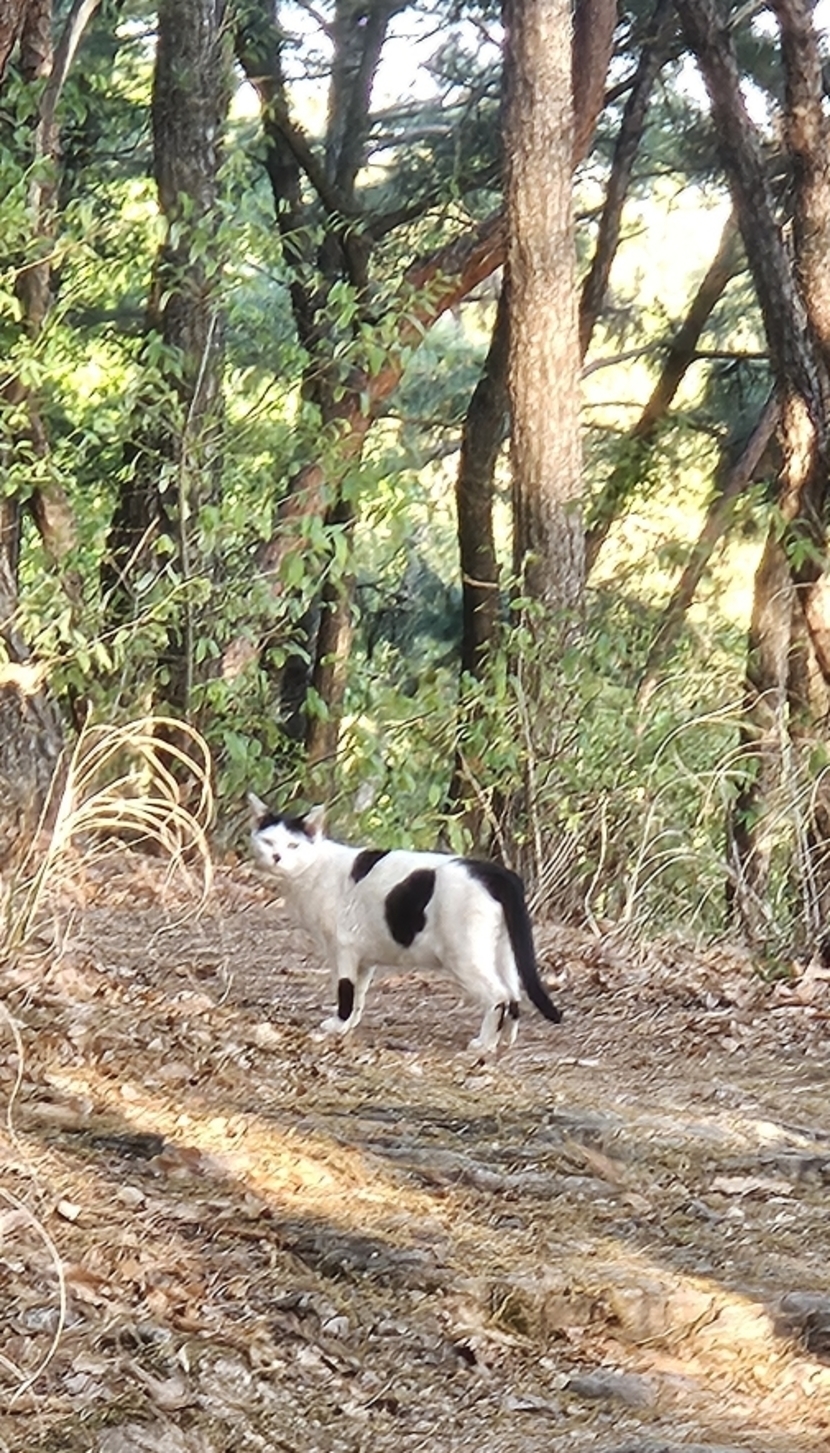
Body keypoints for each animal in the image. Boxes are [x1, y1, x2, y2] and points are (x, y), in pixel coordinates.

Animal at [248, 795, 562, 1051]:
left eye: (293, 845)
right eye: (268, 842)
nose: (277, 857)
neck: (312, 871)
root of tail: (496, 873)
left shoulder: (342, 948)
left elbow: (345, 990)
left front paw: (337, 1025)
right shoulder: (363, 957)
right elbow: (359, 994)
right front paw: (349, 1026)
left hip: (465, 956)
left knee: (499, 996)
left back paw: (484, 1044)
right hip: (503, 951)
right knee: (514, 995)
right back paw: (505, 1039)